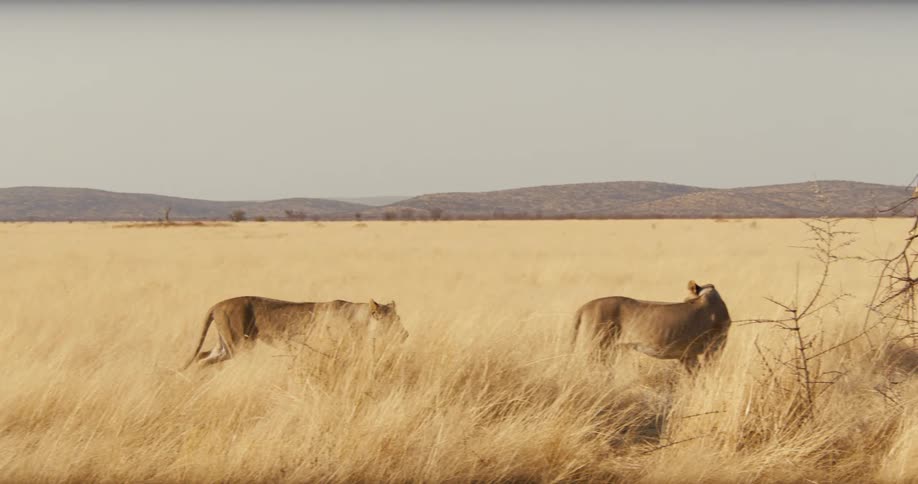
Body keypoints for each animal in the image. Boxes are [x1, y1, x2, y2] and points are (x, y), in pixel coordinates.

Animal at [182, 297, 406, 369]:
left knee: (203, 357)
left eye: (398, 318)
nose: (406, 334)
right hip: (238, 344)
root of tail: (217, 305)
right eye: (393, 321)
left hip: (226, 345)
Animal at [570, 280, 731, 372]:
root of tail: (584, 306)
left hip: (607, 349)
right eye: (686, 300)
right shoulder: (714, 348)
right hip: (595, 347)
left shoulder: (688, 354)